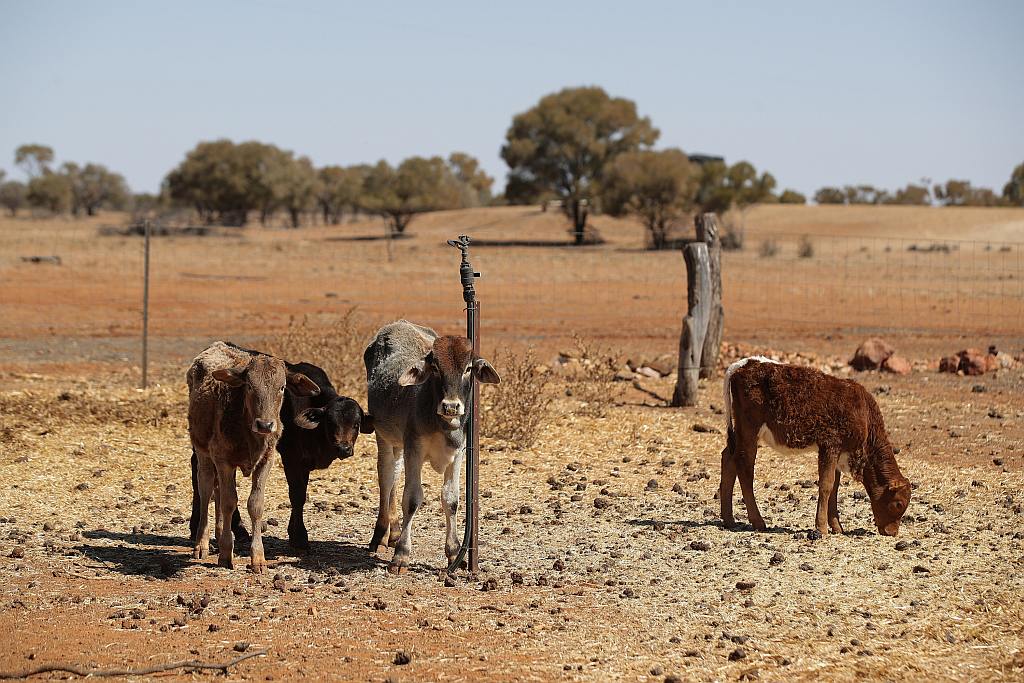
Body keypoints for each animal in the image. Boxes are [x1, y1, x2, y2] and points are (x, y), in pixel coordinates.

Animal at [720, 356, 913, 536]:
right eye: (898, 504)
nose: (892, 532)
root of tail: (743, 364)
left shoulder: (838, 452)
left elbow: (834, 487)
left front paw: (837, 527)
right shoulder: (830, 445)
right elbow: (826, 485)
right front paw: (821, 527)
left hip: (740, 433)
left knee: (728, 458)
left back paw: (729, 520)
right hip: (749, 430)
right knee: (744, 467)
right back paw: (758, 521)